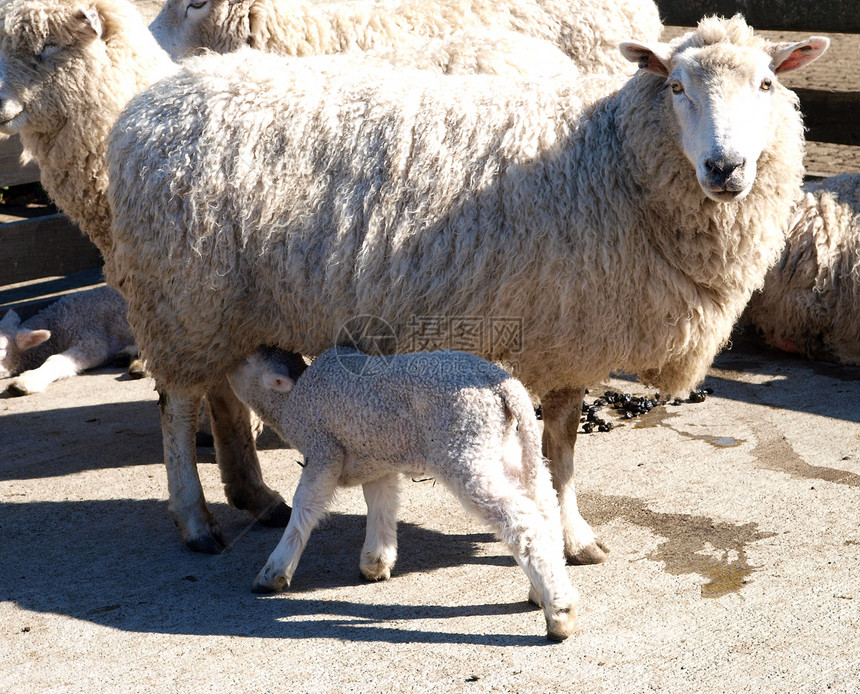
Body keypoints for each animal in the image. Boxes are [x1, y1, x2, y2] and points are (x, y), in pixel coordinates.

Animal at [104, 16, 828, 560]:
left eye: (767, 83)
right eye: (677, 86)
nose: (725, 168)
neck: (613, 160)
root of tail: (146, 106)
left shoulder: (568, 342)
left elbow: (558, 453)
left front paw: (568, 533)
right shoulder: (566, 339)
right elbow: (559, 456)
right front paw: (574, 537)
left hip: (225, 302)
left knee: (221, 390)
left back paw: (253, 495)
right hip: (182, 292)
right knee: (177, 406)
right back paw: (196, 520)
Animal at [227, 346, 576, 644]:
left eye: (245, 361)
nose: (225, 362)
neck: (293, 399)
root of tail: (508, 389)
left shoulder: (324, 450)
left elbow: (306, 506)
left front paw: (275, 571)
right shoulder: (376, 458)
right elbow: (381, 502)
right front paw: (375, 561)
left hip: (465, 446)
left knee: (522, 521)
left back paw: (560, 613)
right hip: (501, 449)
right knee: (544, 504)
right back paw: (545, 588)